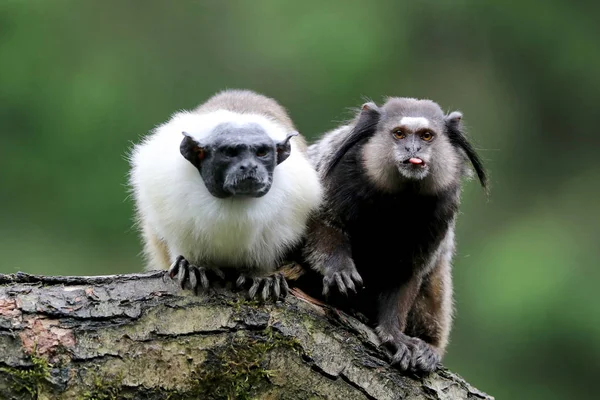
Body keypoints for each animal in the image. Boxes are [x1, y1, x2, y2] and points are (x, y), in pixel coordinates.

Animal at [302, 97, 490, 372]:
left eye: (426, 136)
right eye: (399, 134)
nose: (413, 149)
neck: (400, 199)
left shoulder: (444, 205)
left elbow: (410, 270)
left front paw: (393, 333)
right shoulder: (338, 173)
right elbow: (322, 223)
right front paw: (339, 271)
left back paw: (430, 347)